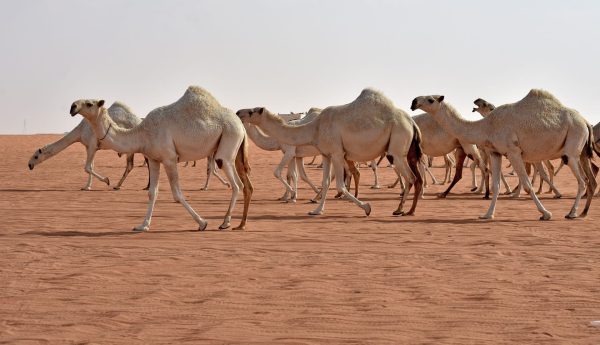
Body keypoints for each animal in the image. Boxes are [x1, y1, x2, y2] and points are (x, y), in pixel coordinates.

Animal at [71, 86, 253, 231]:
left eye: (89, 103)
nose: (73, 106)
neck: (143, 134)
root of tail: (241, 125)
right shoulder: (153, 159)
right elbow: (152, 193)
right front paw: (143, 225)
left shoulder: (169, 158)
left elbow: (177, 194)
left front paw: (202, 223)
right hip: (233, 150)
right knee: (243, 184)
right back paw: (234, 223)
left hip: (228, 139)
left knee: (236, 184)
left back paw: (225, 222)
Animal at [237, 87, 424, 216]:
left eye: (252, 111)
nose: (238, 112)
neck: (315, 128)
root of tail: (411, 123)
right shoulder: (326, 154)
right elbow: (325, 181)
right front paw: (316, 210)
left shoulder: (335, 153)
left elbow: (338, 183)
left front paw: (367, 207)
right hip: (404, 151)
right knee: (415, 178)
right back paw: (405, 209)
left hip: (397, 147)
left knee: (411, 177)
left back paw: (404, 210)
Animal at [412, 87, 596, 219]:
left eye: (430, 99)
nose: (414, 101)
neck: (488, 125)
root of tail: (585, 121)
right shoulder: (496, 152)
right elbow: (496, 185)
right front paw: (487, 215)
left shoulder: (513, 151)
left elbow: (527, 185)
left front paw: (546, 214)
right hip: (580, 152)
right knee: (588, 179)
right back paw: (581, 212)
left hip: (572, 148)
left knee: (583, 180)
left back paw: (572, 213)